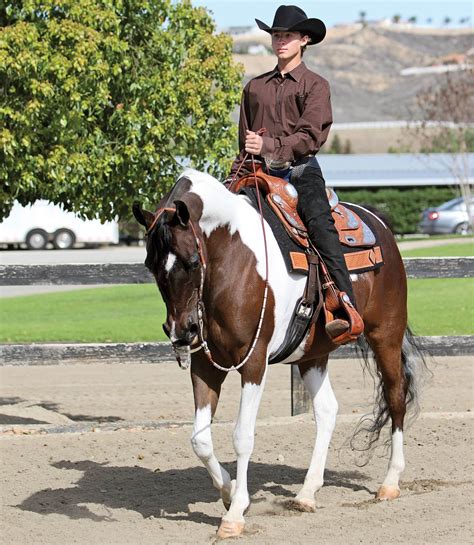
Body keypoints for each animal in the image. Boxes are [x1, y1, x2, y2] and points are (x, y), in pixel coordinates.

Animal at [132, 168, 426, 536]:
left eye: (192, 261)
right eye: (150, 264)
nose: (181, 332)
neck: (233, 259)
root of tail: (380, 223)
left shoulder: (254, 362)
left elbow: (242, 435)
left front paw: (235, 515)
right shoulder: (205, 364)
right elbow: (200, 440)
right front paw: (229, 491)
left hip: (385, 334)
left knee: (396, 396)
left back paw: (389, 482)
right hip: (313, 354)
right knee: (327, 410)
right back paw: (307, 493)